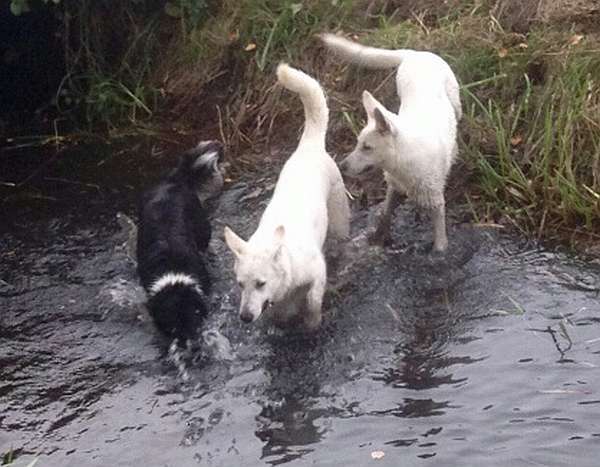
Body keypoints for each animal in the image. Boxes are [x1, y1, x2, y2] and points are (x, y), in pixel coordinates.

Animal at [136, 140, 225, 344]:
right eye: (172, 328)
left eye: (194, 320)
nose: (192, 346)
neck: (172, 269)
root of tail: (174, 180)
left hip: (202, 229)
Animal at [223, 63, 350, 330]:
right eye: (240, 284)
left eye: (260, 283)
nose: (245, 317)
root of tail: (308, 145)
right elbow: (280, 313)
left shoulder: (317, 270)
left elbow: (312, 300)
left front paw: (312, 321)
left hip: (339, 219)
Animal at [322, 33, 462, 252]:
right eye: (357, 143)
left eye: (367, 147)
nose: (341, 166)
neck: (403, 159)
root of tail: (416, 54)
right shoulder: (394, 186)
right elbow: (386, 212)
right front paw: (380, 237)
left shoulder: (436, 202)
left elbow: (440, 240)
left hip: (456, 103)